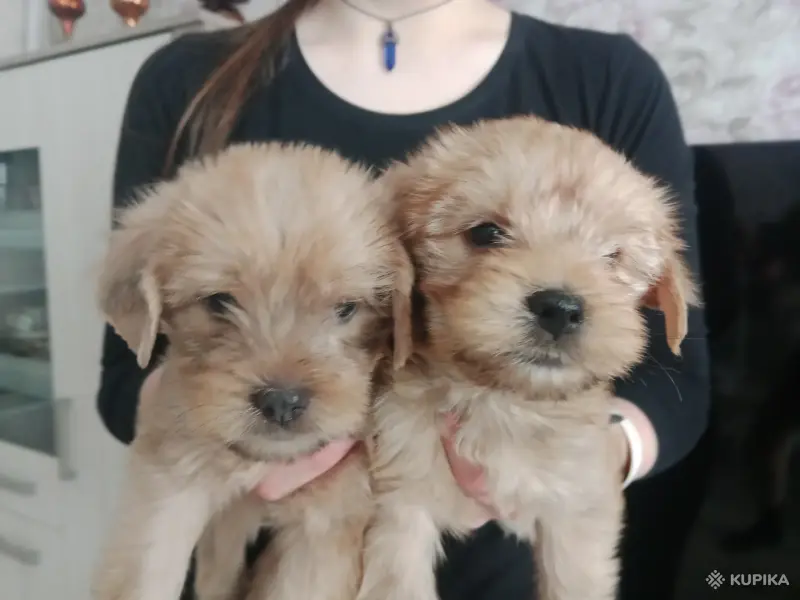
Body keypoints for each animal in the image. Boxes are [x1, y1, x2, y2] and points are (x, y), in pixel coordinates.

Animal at [91, 143, 412, 600]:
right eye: (219, 302)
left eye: (346, 309)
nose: (282, 402)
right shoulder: (167, 486)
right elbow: (144, 575)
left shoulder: (325, 525)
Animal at [355, 116, 697, 600]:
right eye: (484, 233)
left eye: (612, 256)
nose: (560, 308)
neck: (502, 403)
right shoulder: (399, 503)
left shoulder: (578, 508)